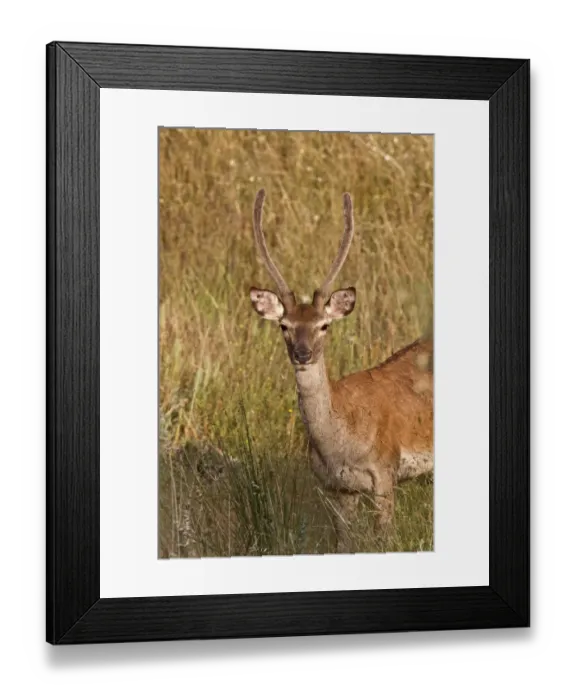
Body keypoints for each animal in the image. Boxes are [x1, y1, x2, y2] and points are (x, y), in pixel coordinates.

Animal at [249, 189, 433, 553]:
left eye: (324, 325)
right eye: (284, 326)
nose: (303, 353)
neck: (339, 447)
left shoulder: (385, 471)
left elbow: (385, 539)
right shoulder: (335, 487)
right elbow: (343, 543)